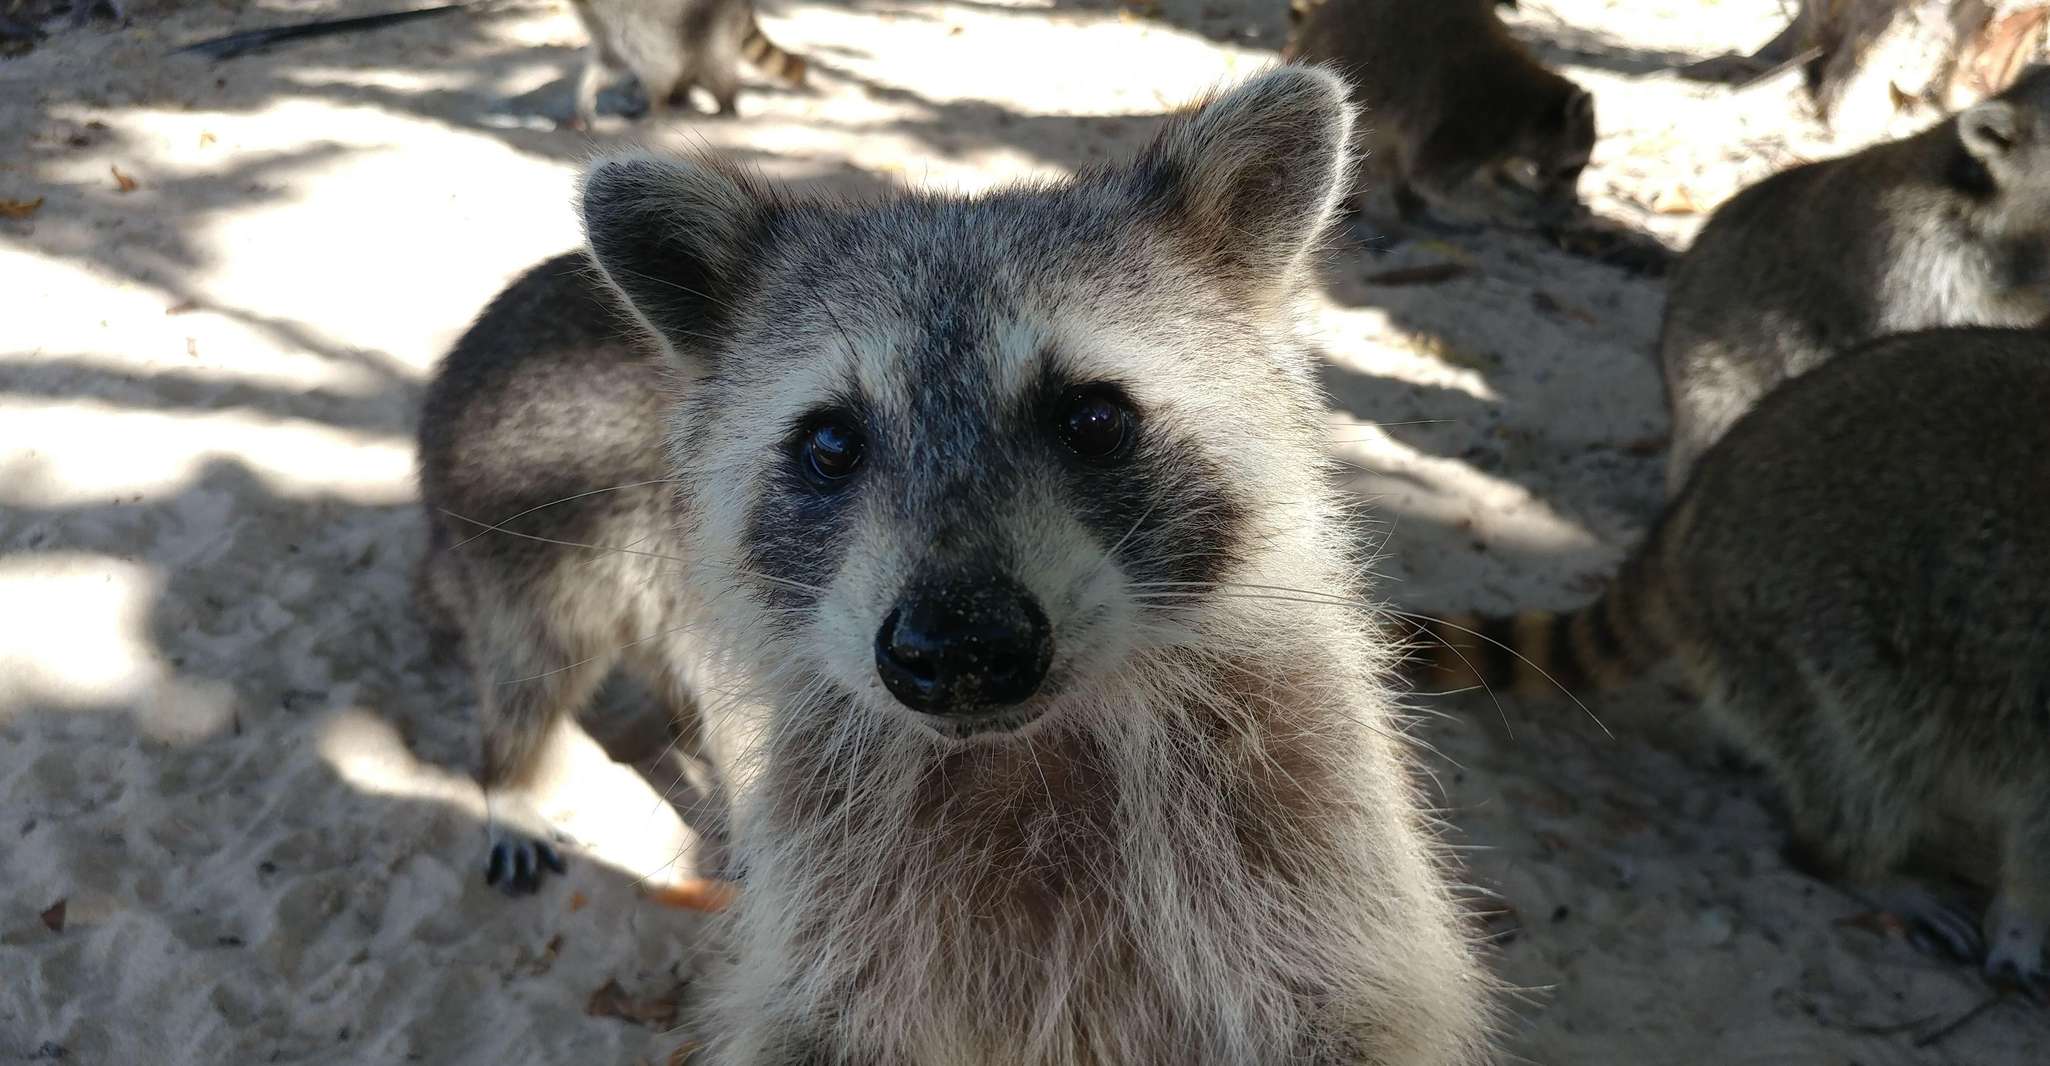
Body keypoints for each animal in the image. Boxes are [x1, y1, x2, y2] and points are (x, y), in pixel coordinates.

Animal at [420, 68, 1508, 1066]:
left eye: (1094, 418)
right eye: (830, 443)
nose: (957, 649)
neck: (1025, 754)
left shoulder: (1304, 830)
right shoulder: (839, 904)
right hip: (532, 526)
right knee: (531, 670)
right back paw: (506, 775)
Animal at [574, 0, 811, 131]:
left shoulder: (636, 17)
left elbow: (660, 65)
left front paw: (656, 106)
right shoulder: (602, 25)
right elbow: (609, 63)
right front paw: (586, 94)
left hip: (714, 23)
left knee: (714, 66)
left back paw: (725, 105)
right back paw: (681, 98)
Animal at [1279, 0, 1599, 228]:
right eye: (1573, 168)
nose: (1572, 201)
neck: (1531, 108)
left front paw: (1510, 181)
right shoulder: (1465, 118)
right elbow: (1433, 178)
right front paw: (1502, 208)